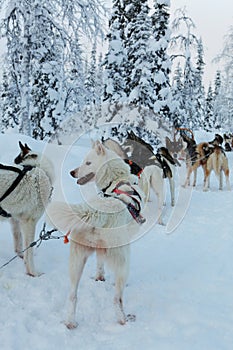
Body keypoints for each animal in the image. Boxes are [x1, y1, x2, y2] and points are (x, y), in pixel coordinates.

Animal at [0, 142, 54, 276]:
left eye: (16, 160)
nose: (13, 162)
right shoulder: (29, 222)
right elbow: (29, 250)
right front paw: (32, 273)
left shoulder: (15, 220)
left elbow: (19, 241)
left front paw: (20, 255)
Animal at [46, 139, 146, 328]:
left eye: (88, 163)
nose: (72, 172)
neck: (116, 180)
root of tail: (96, 211)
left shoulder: (99, 252)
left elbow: (100, 264)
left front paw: (99, 277)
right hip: (123, 261)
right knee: (117, 298)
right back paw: (123, 318)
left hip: (76, 262)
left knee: (72, 295)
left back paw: (70, 322)